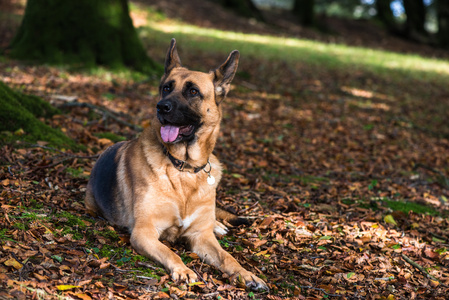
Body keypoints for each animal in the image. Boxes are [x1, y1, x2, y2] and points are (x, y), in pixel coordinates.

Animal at [86, 39, 268, 290]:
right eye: (166, 88)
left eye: (193, 91)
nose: (161, 107)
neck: (183, 168)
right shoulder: (144, 232)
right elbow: (169, 252)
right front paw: (184, 270)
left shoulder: (201, 237)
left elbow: (228, 257)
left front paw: (247, 274)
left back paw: (218, 225)